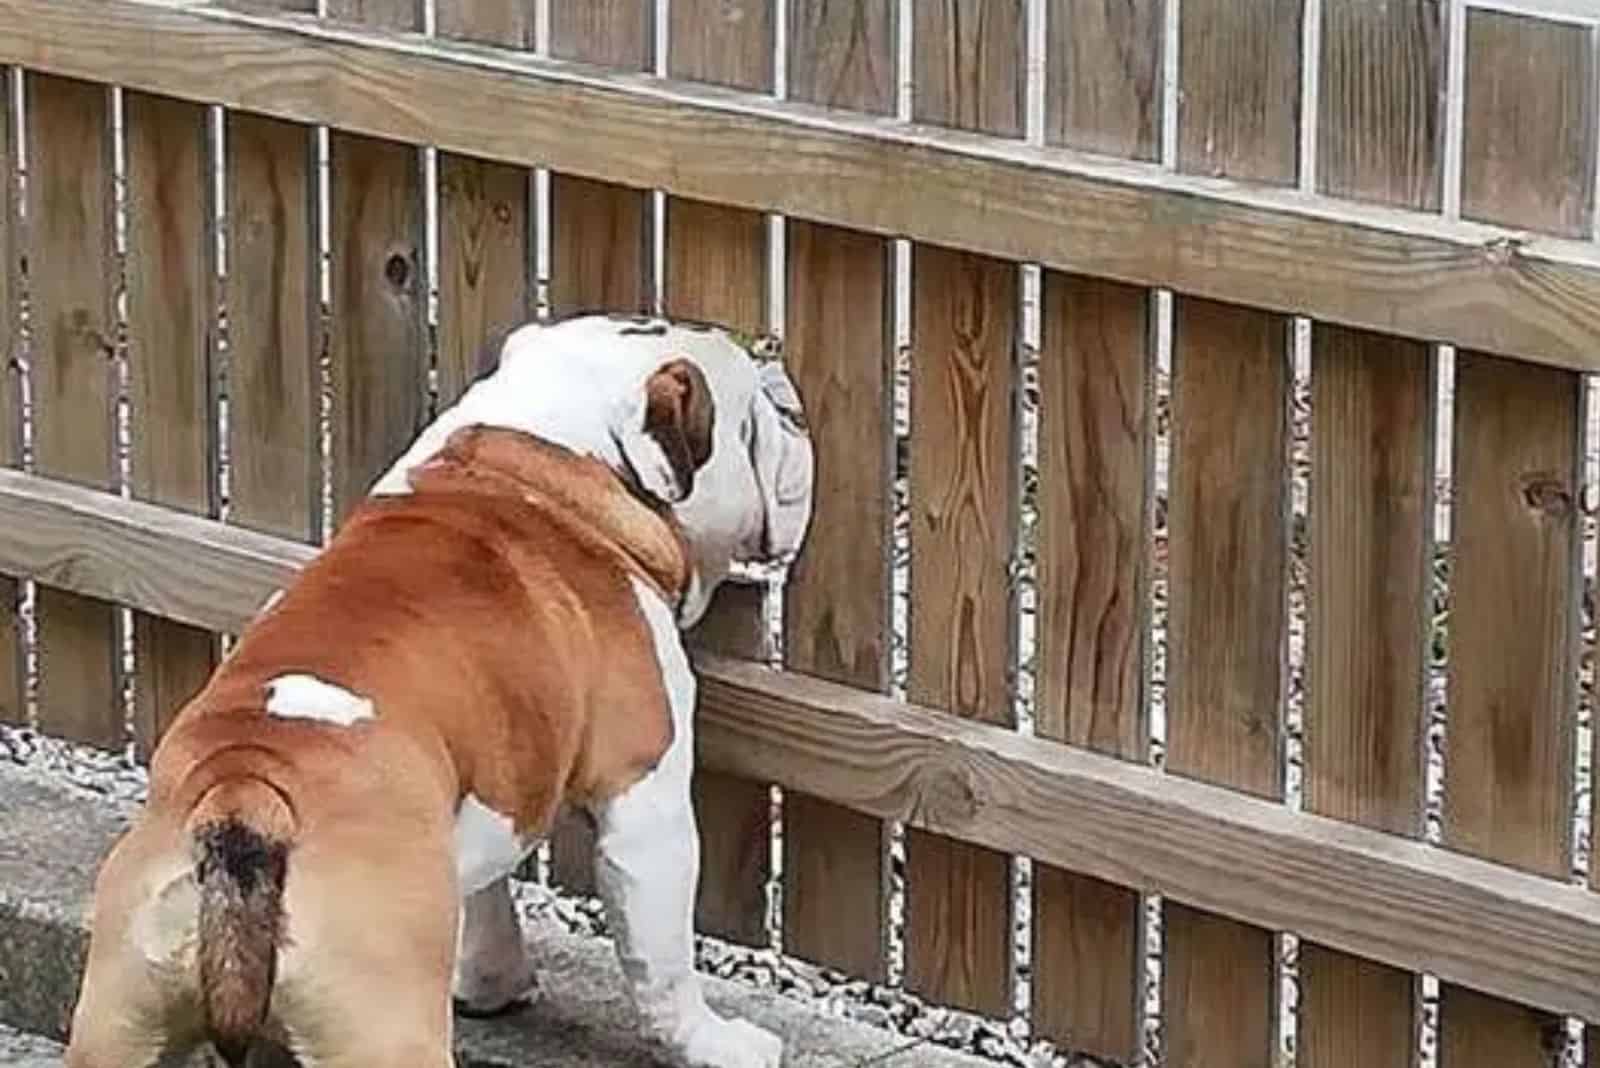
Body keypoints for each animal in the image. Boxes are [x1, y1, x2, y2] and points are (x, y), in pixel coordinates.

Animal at [60, 314, 812, 1068]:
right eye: (755, 417)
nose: (793, 406)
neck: (538, 461)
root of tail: (245, 793)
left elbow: (485, 900)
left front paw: (488, 985)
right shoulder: (645, 801)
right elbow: (661, 959)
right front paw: (711, 1042)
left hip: (121, 1009)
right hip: (383, 1026)